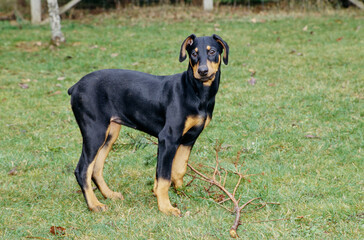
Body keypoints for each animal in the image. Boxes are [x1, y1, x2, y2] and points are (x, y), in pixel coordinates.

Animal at [67, 33, 228, 216]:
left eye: (212, 51)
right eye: (193, 53)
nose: (202, 71)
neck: (197, 92)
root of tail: (75, 87)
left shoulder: (188, 139)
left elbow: (178, 170)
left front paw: (181, 193)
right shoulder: (168, 138)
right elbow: (164, 176)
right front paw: (166, 207)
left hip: (110, 133)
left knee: (95, 168)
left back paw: (109, 194)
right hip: (95, 131)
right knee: (82, 170)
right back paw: (94, 204)